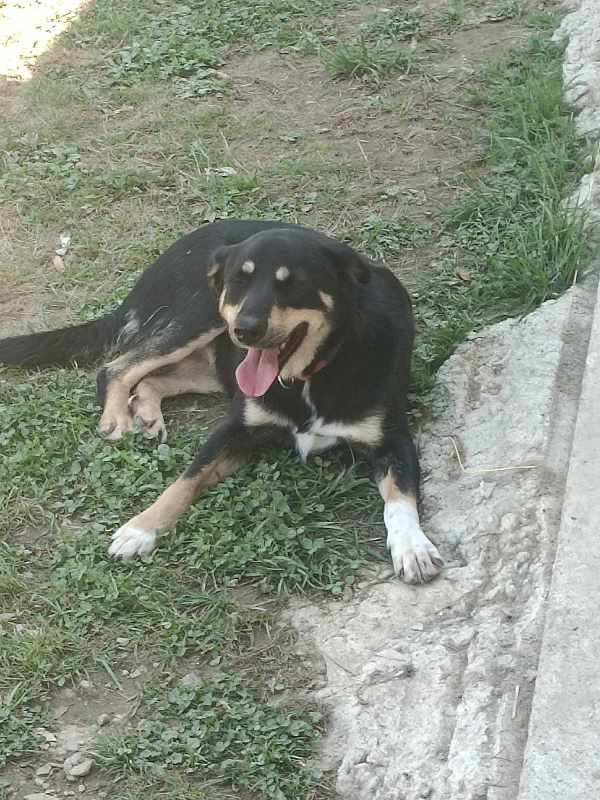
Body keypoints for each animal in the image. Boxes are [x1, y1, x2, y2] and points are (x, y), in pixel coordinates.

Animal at [2, 222, 442, 584]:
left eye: (293, 284)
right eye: (239, 281)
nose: (246, 330)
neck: (310, 375)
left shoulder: (394, 441)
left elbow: (400, 500)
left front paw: (412, 547)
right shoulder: (233, 431)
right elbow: (183, 481)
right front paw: (140, 528)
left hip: (212, 353)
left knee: (151, 377)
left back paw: (144, 412)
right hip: (200, 317)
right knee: (116, 367)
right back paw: (118, 418)